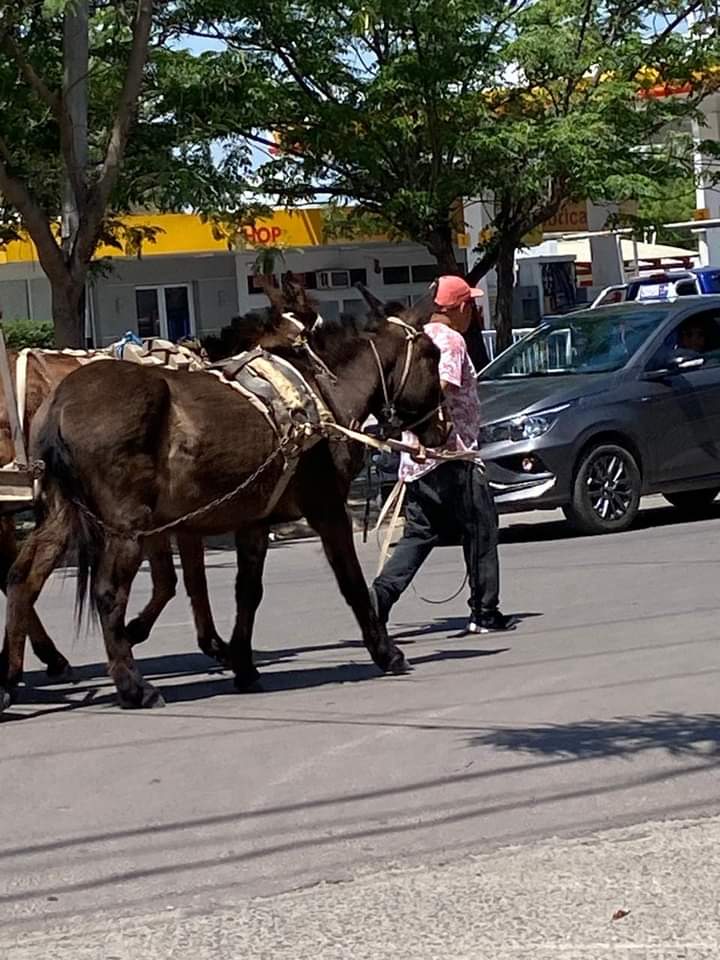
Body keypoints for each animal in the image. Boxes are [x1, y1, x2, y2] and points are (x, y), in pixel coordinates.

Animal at [1, 308, 444, 712]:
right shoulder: (328, 509)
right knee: (107, 594)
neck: (317, 395)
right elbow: (351, 582)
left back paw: (12, 679)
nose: (442, 428)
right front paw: (386, 651)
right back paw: (133, 687)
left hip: (61, 516)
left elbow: (245, 592)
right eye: (434, 354)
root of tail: (61, 401)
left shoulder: (252, 521)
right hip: (126, 527)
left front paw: (242, 664)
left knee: (22, 579)